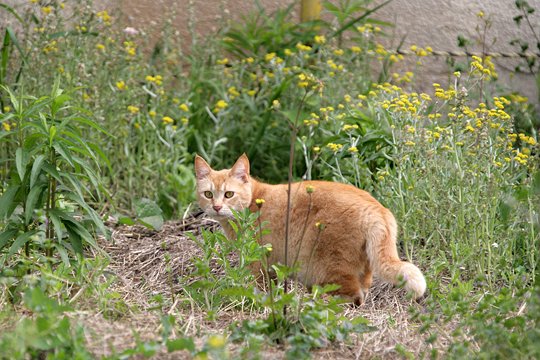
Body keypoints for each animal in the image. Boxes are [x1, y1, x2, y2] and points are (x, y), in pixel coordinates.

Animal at [194, 153, 426, 306]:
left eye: (228, 194)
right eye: (208, 194)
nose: (216, 207)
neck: (254, 201)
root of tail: (376, 209)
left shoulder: (259, 261)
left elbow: (260, 286)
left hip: (328, 267)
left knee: (351, 295)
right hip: (362, 267)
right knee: (363, 292)